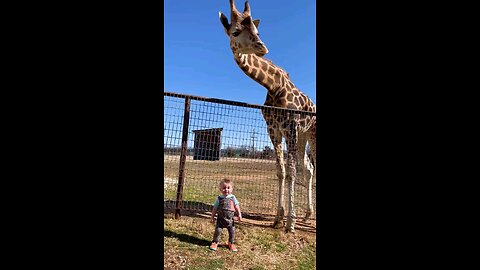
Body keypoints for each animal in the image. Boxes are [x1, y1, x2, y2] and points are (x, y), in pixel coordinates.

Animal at [219, 0, 316, 232]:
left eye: (257, 31)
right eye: (235, 31)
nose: (262, 47)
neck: (273, 86)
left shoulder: (289, 127)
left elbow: (291, 171)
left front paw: (290, 223)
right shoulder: (273, 129)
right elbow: (281, 171)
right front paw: (278, 218)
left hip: (312, 133)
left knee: (311, 166)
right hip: (303, 135)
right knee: (308, 168)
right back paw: (308, 214)